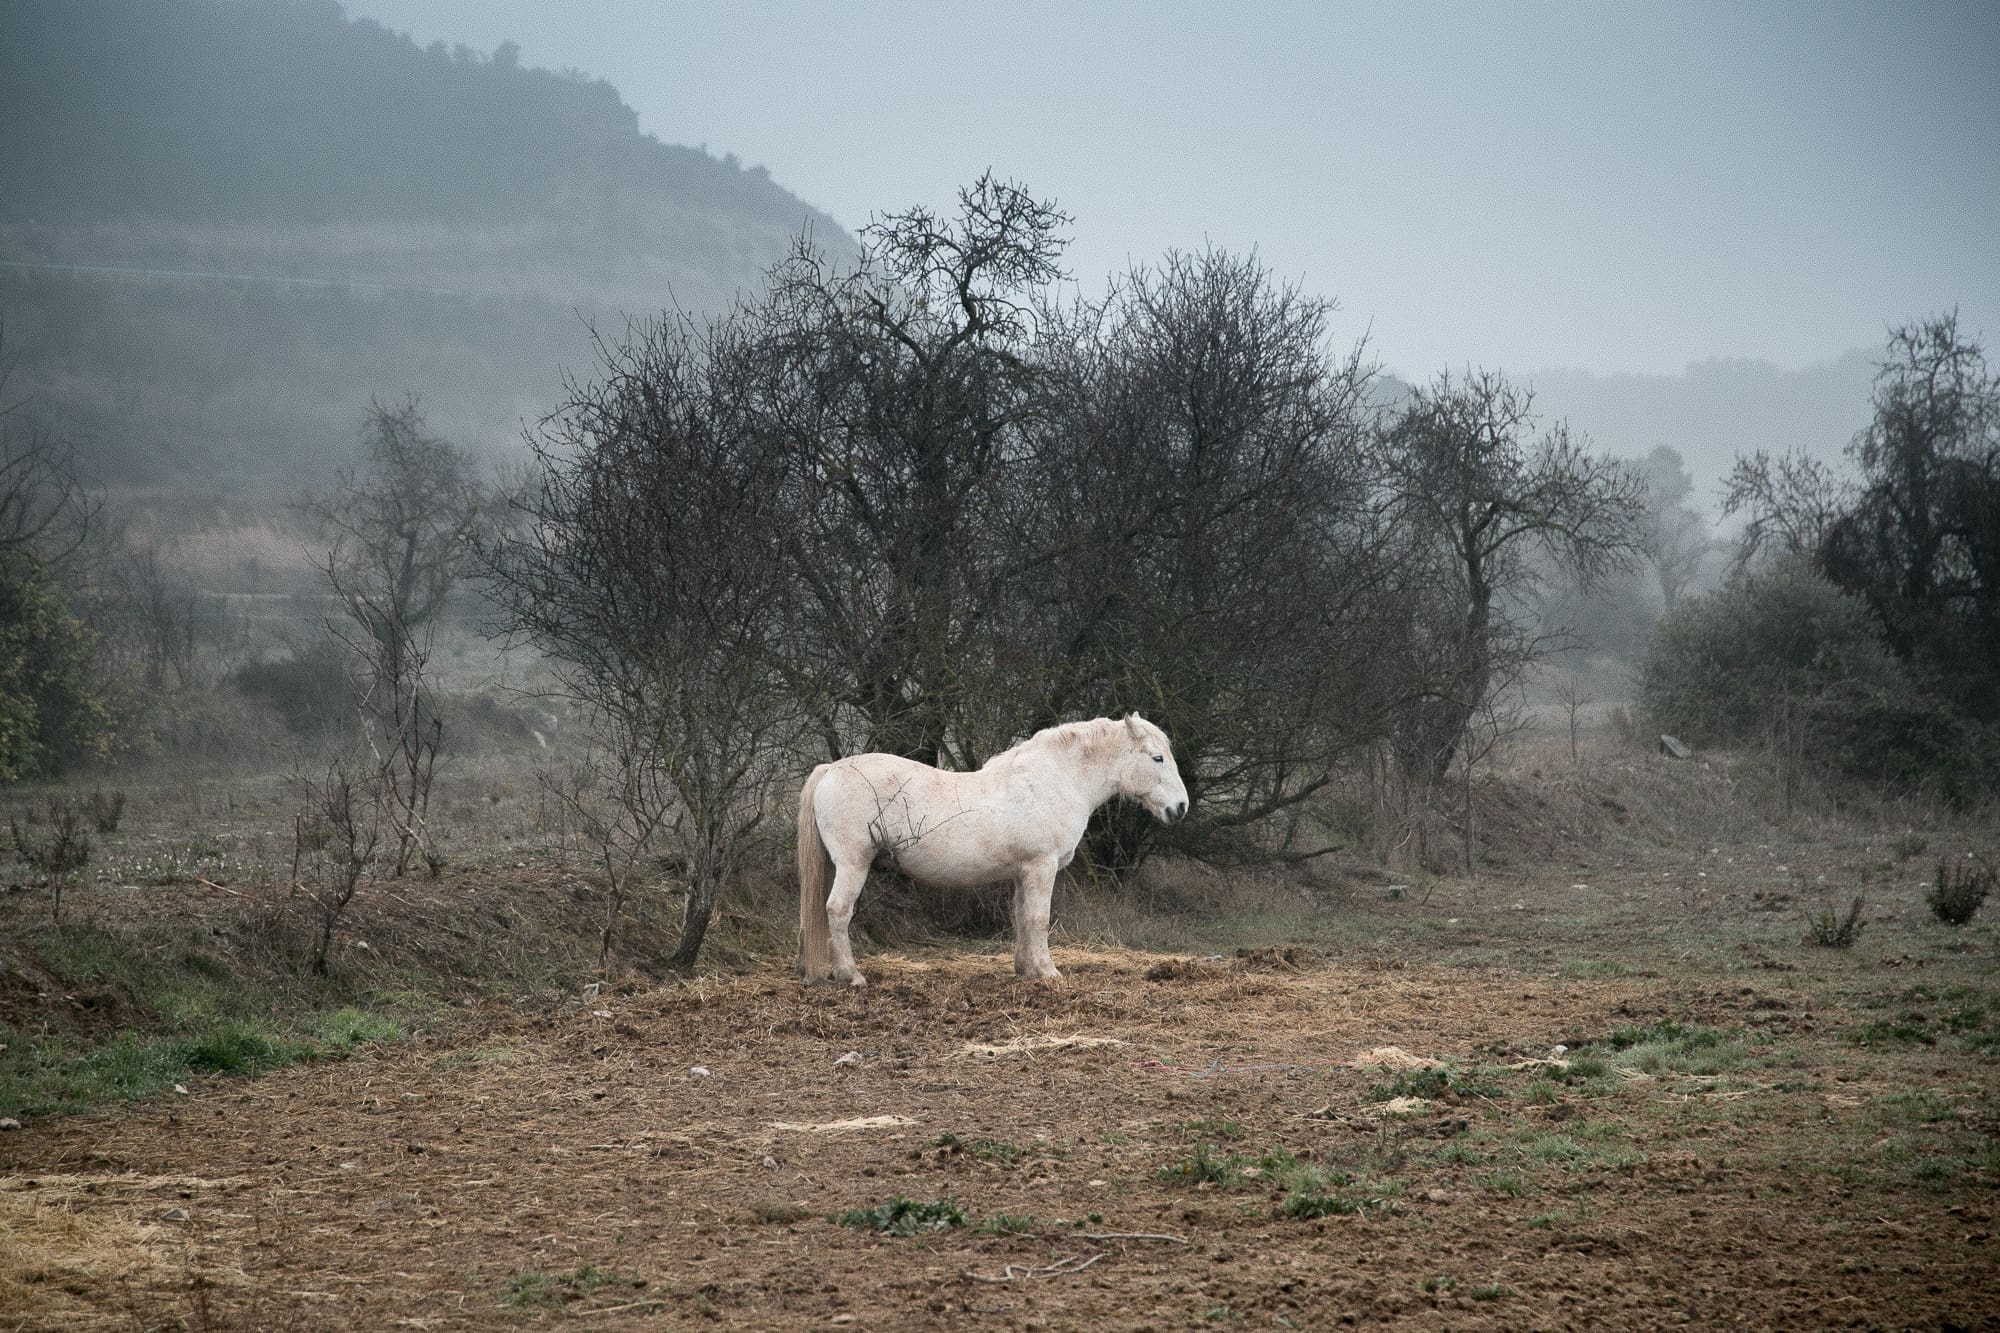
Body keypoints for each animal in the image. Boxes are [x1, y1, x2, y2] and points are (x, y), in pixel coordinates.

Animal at [800, 712, 1184, 980]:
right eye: (1157, 758)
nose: (1180, 807)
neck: (1053, 781)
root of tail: (831, 769)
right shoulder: (1042, 867)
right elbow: (1038, 918)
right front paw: (1048, 971)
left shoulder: (1022, 873)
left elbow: (1021, 917)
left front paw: (1026, 969)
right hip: (853, 863)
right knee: (838, 910)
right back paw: (851, 975)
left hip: (837, 865)